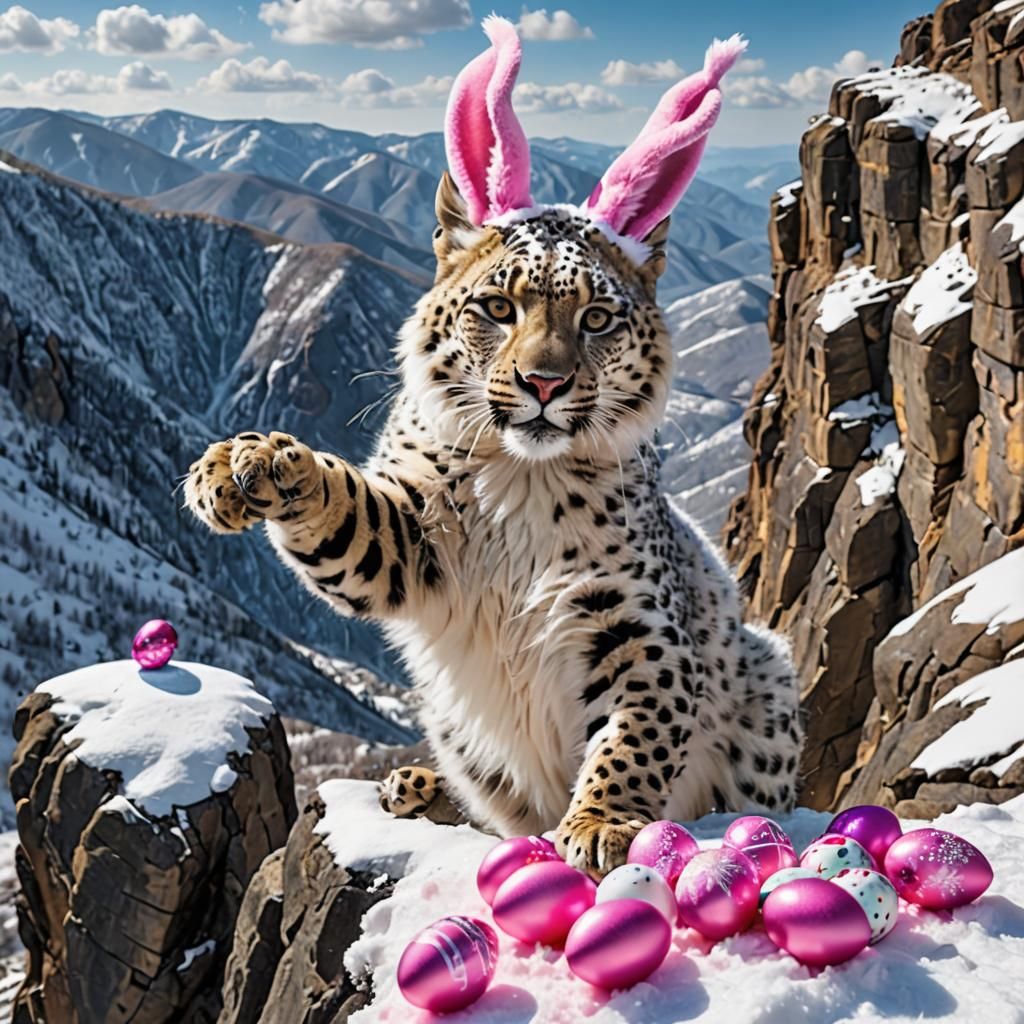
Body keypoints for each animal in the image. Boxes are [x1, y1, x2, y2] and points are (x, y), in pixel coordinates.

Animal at [184, 171, 802, 878]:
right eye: (499, 308)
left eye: (596, 318)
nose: (544, 382)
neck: (522, 482)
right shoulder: (410, 544)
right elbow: (348, 510)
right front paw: (249, 463)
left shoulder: (633, 621)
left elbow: (635, 731)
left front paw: (603, 822)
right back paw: (415, 786)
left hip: (768, 678)